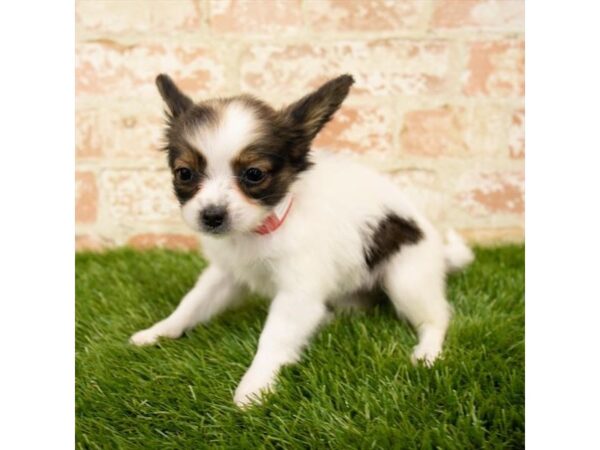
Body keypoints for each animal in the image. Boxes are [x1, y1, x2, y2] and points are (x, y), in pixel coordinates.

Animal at [130, 72, 474, 406]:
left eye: (254, 174)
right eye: (184, 174)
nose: (212, 216)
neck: (258, 230)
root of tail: (439, 250)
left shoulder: (298, 293)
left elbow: (273, 337)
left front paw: (254, 385)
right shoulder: (226, 274)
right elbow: (192, 303)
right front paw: (159, 331)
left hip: (406, 277)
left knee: (437, 318)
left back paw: (428, 352)